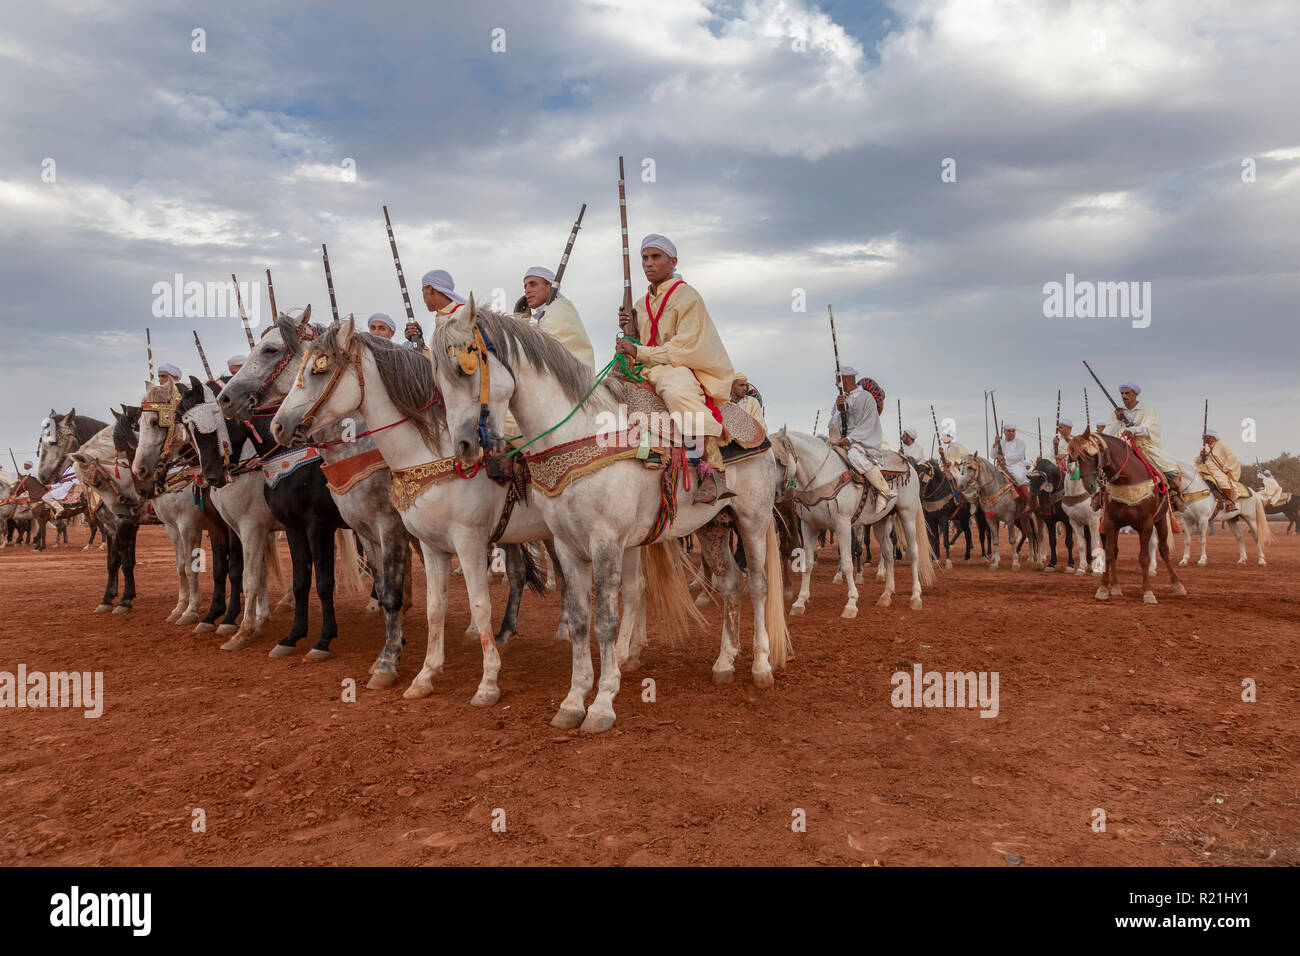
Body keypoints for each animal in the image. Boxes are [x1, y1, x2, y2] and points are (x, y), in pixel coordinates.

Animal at [431, 303, 785, 738]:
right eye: (439, 382)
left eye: (466, 366)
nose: (464, 446)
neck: (580, 435)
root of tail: (757, 430)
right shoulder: (567, 546)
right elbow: (580, 621)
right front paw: (573, 701)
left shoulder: (606, 543)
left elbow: (605, 621)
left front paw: (601, 704)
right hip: (712, 527)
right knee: (731, 584)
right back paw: (723, 662)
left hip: (752, 520)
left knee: (758, 586)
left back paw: (761, 666)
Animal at [774, 424, 930, 616]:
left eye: (777, 459)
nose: (773, 494)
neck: (823, 476)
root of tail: (908, 464)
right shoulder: (808, 526)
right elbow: (808, 563)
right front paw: (800, 601)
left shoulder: (843, 524)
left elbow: (848, 562)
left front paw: (851, 603)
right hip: (881, 521)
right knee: (888, 553)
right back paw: (886, 595)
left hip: (907, 514)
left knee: (914, 552)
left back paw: (915, 597)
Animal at [1066, 429, 1190, 606]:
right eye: (1075, 458)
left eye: (1090, 454)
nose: (1089, 486)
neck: (1128, 479)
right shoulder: (1111, 523)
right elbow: (1110, 553)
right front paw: (1103, 589)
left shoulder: (1146, 524)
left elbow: (1144, 557)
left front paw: (1148, 592)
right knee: (1116, 551)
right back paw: (1116, 587)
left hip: (1160, 521)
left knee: (1164, 550)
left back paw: (1177, 585)